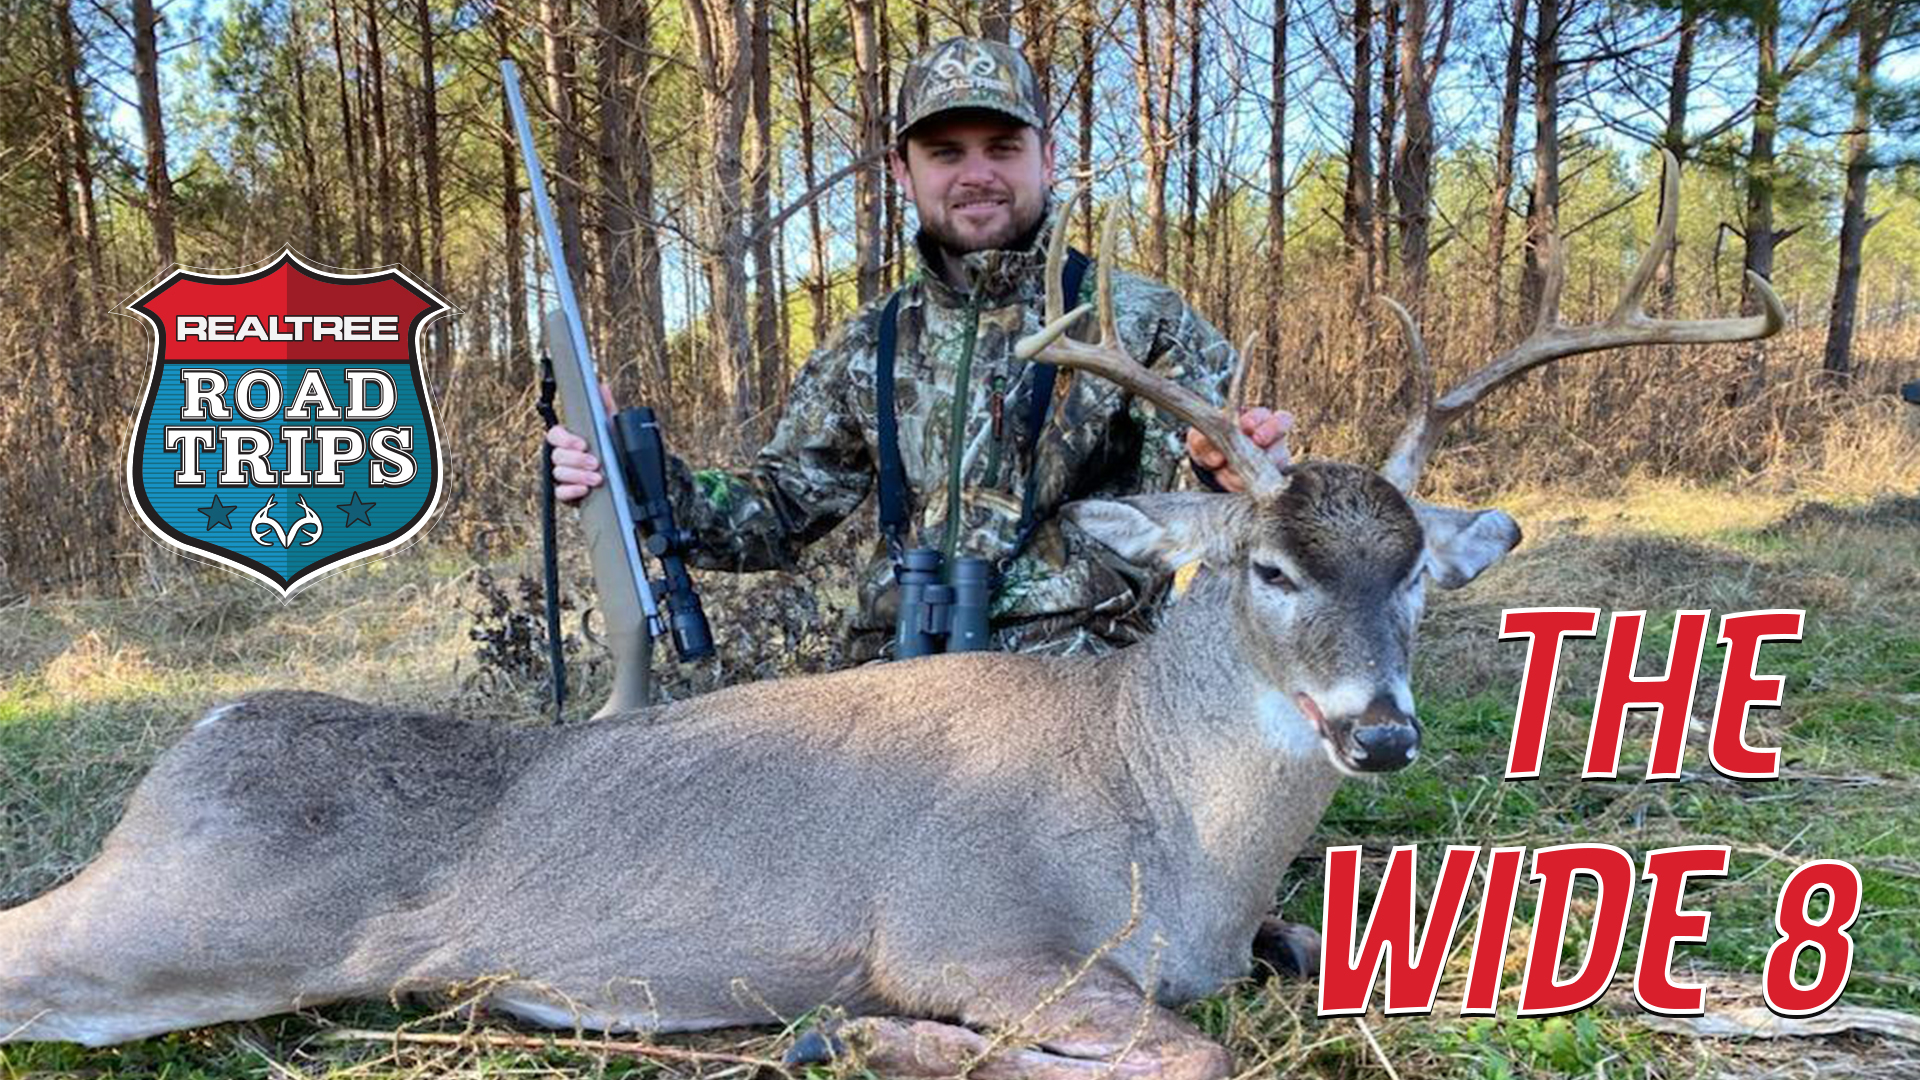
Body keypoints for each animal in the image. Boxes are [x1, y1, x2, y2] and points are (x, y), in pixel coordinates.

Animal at [1, 156, 1780, 1078]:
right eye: (1268, 571)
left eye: (1415, 571)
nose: (1383, 732)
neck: (1166, 834)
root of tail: (200, 741)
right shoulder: (962, 931)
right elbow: (1180, 1049)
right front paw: (857, 1039)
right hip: (204, 914)